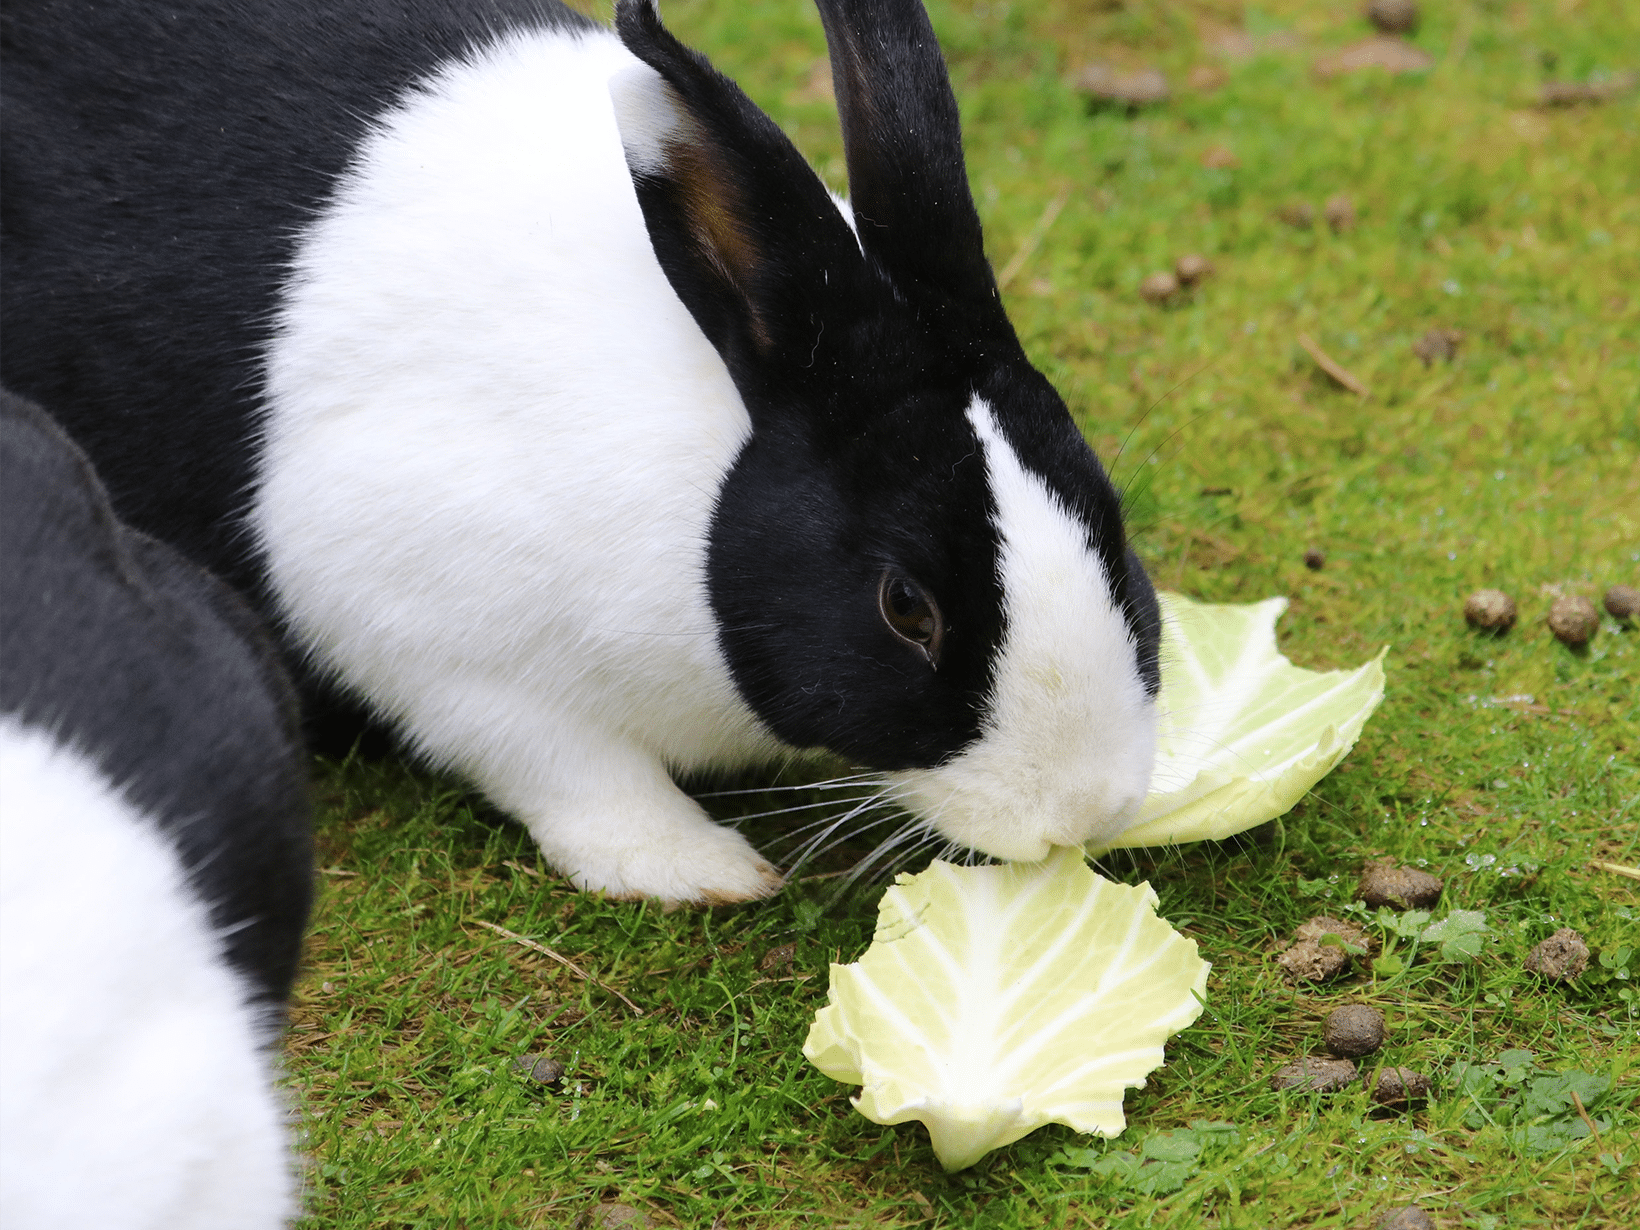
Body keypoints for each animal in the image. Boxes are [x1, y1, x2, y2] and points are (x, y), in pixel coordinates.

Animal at [0, 0, 1161, 905]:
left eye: (1108, 519)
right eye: (904, 606)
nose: (1083, 808)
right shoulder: (426, 634)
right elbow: (565, 765)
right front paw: (695, 867)